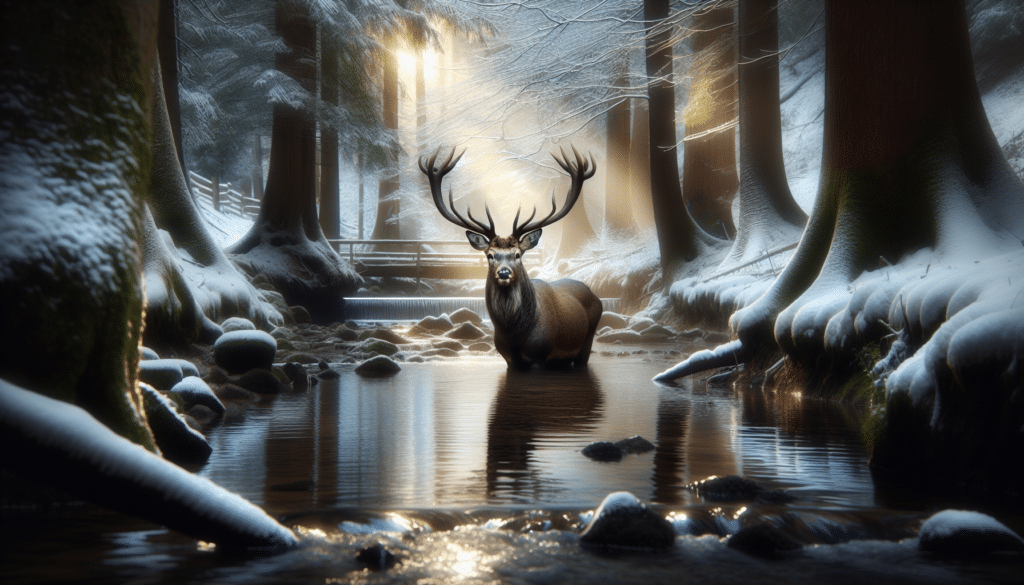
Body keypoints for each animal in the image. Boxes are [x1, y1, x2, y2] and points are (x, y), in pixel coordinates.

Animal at [419, 146, 603, 370]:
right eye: (490, 255)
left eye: (517, 254)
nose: (504, 272)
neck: (514, 337)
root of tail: (594, 294)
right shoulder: (509, 360)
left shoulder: (541, 357)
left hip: (586, 343)